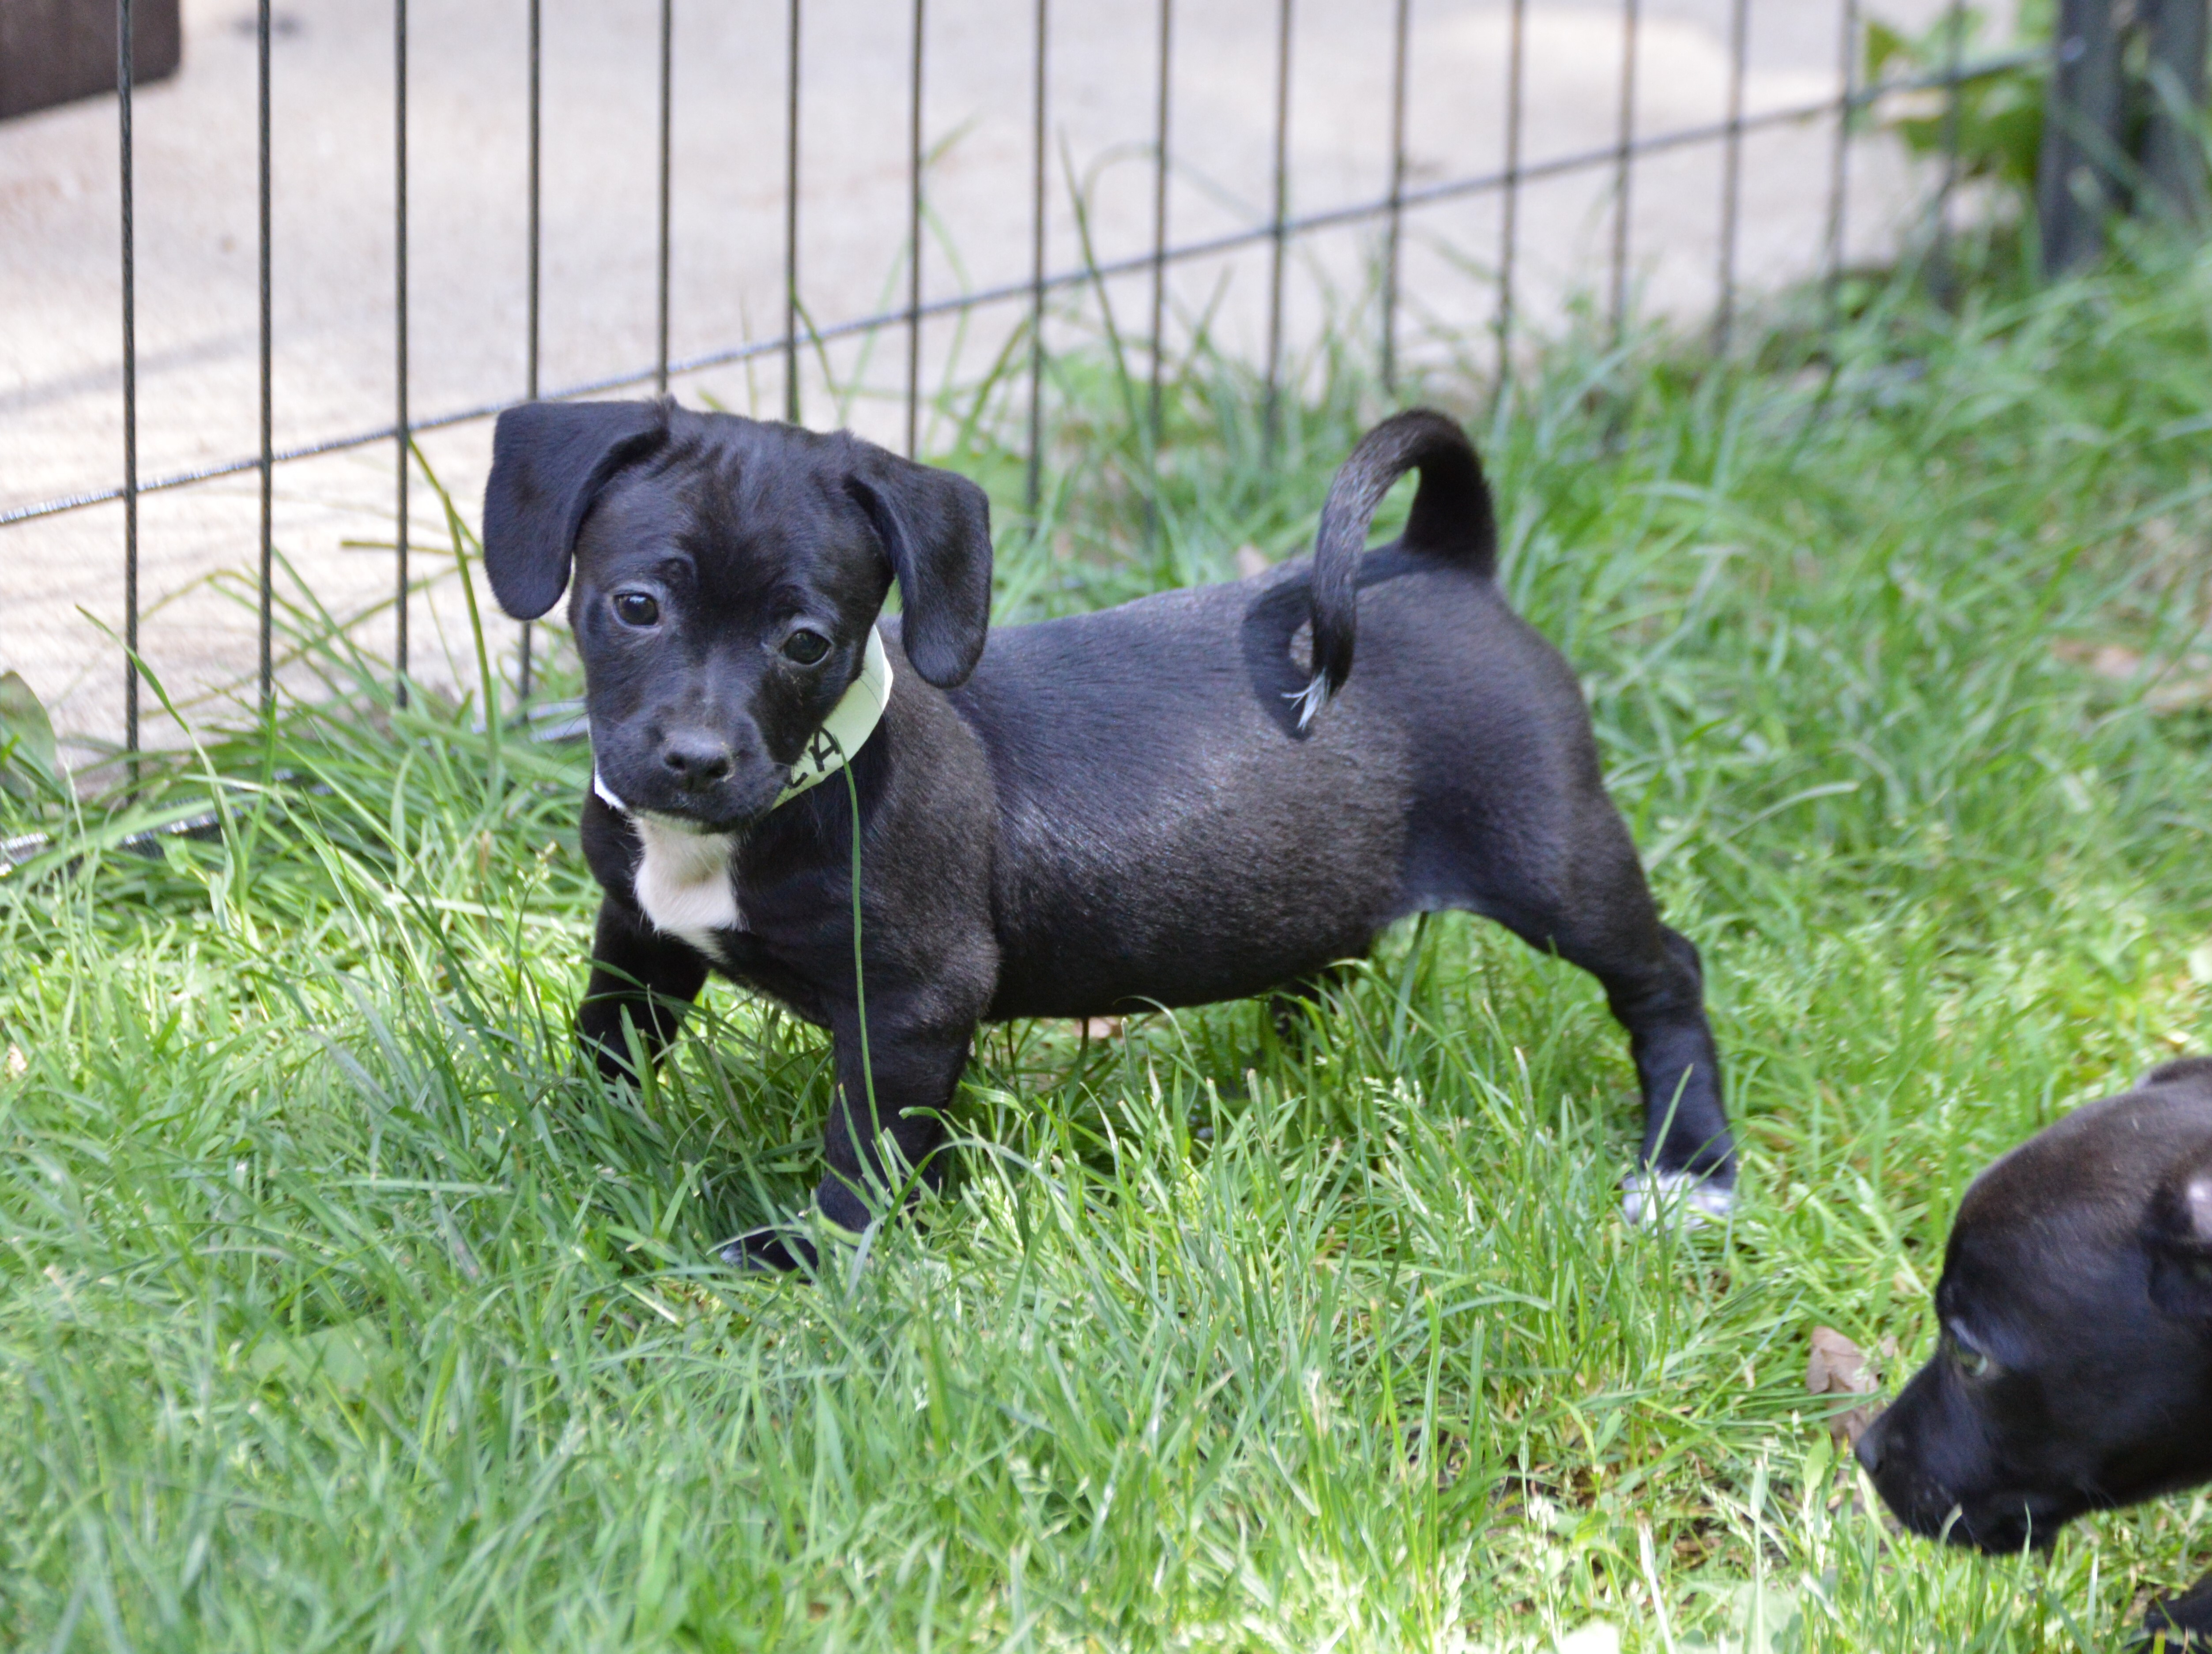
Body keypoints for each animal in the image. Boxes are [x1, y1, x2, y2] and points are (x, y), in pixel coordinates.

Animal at [480, 400, 1725, 1265]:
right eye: (636, 606)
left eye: (805, 641)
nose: (695, 760)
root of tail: (1439, 561)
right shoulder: (637, 932)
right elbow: (609, 1042)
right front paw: (565, 1146)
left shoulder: (914, 1001)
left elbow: (865, 1149)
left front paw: (816, 1255)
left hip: (1550, 856)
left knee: (1665, 974)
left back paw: (1689, 1167)